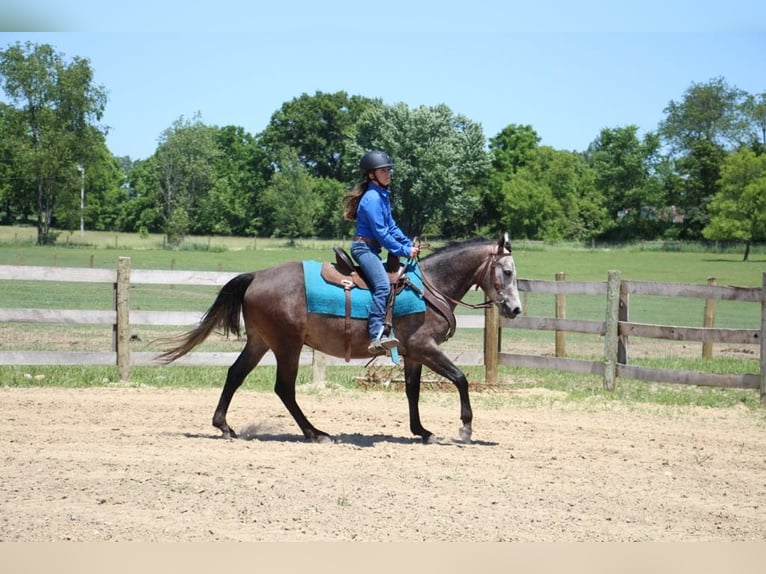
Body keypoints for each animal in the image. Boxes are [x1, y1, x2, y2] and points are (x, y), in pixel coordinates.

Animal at [159, 233, 524, 446]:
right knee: (284, 388)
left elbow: (412, 391)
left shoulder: (412, 354)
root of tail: (257, 277)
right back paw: (315, 432)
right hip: (287, 345)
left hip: (260, 342)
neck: (429, 288)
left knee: (235, 374)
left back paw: (224, 426)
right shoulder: (425, 348)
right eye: (507, 272)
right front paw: (465, 428)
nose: (515, 309)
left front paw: (421, 431)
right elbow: (460, 379)